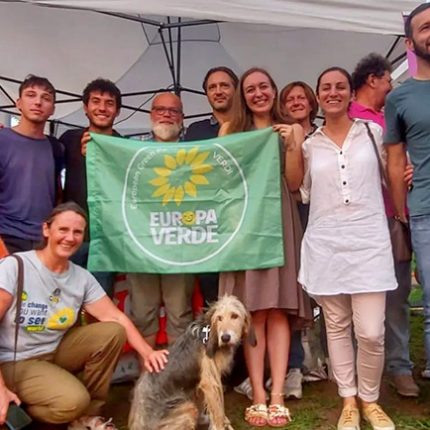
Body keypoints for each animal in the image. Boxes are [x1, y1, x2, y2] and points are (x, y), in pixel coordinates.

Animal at [127, 296, 255, 430]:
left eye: (235, 316)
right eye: (219, 318)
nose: (225, 338)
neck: (210, 333)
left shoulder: (209, 382)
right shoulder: (210, 382)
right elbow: (218, 411)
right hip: (188, 409)